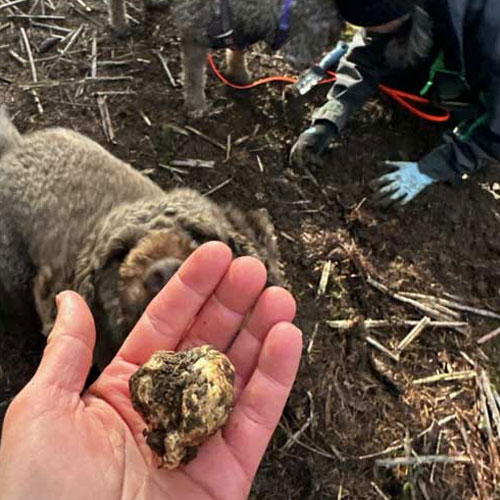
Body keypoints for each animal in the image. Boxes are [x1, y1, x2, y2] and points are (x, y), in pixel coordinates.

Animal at [107, 0, 338, 115]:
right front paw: (196, 106)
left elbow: (238, 51)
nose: (307, 64)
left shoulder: (237, 30)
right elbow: (194, 75)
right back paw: (120, 24)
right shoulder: (194, 33)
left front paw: (239, 74)